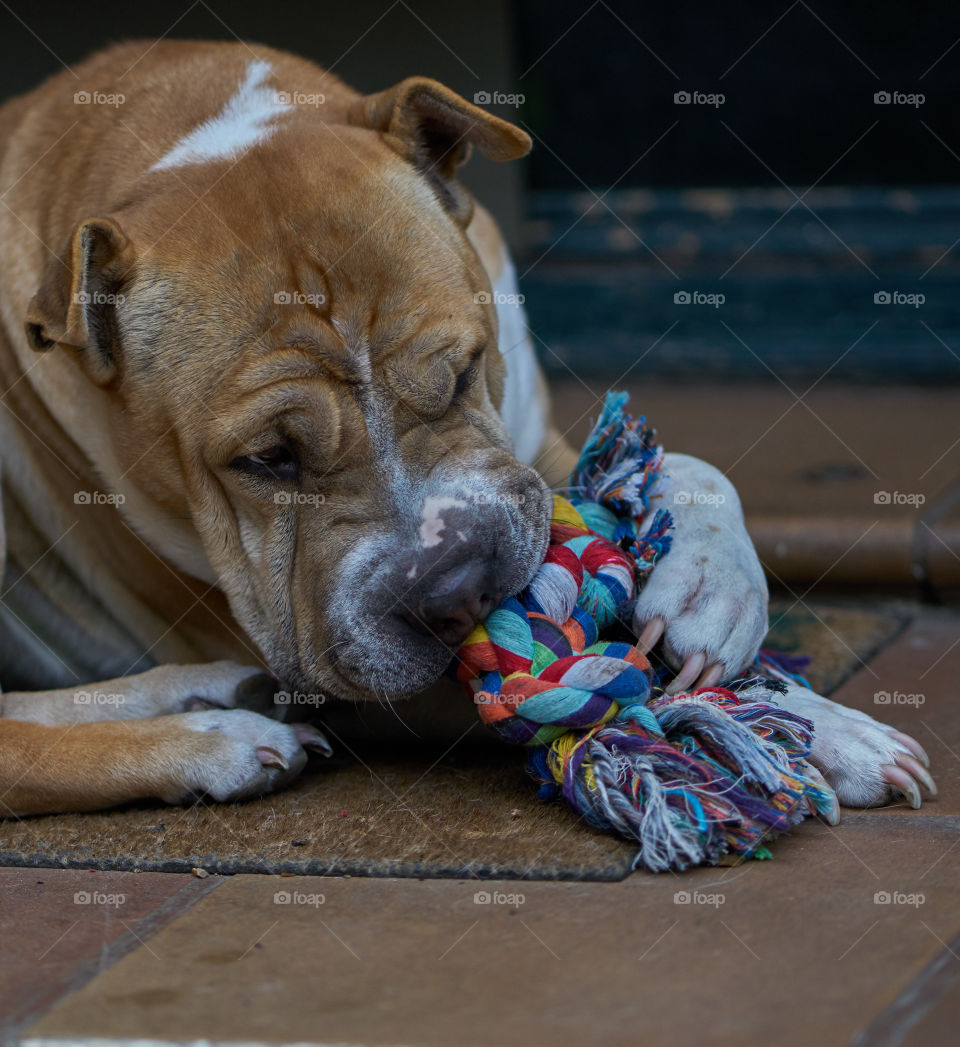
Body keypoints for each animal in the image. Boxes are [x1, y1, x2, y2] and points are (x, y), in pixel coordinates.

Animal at [0, 42, 929, 816]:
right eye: (266, 458)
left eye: (459, 373)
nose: (450, 587)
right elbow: (632, 683)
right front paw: (824, 733)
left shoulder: (536, 444)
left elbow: (687, 467)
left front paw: (711, 590)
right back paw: (210, 740)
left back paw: (206, 694)